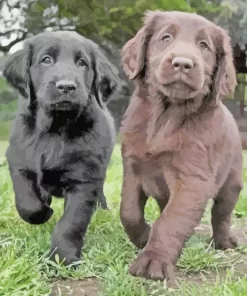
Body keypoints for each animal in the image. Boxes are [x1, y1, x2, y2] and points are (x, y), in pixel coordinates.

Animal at [3, 31, 119, 264]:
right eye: (46, 59)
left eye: (82, 63)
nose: (66, 86)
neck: (55, 129)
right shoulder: (18, 162)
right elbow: (27, 203)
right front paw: (43, 212)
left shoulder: (84, 181)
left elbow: (70, 223)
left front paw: (62, 257)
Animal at [119, 9, 243, 282]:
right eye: (166, 38)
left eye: (204, 46)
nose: (183, 63)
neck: (166, 116)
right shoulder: (132, 166)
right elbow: (129, 211)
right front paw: (143, 236)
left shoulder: (192, 179)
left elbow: (171, 221)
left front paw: (154, 260)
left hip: (232, 181)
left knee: (222, 214)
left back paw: (224, 241)